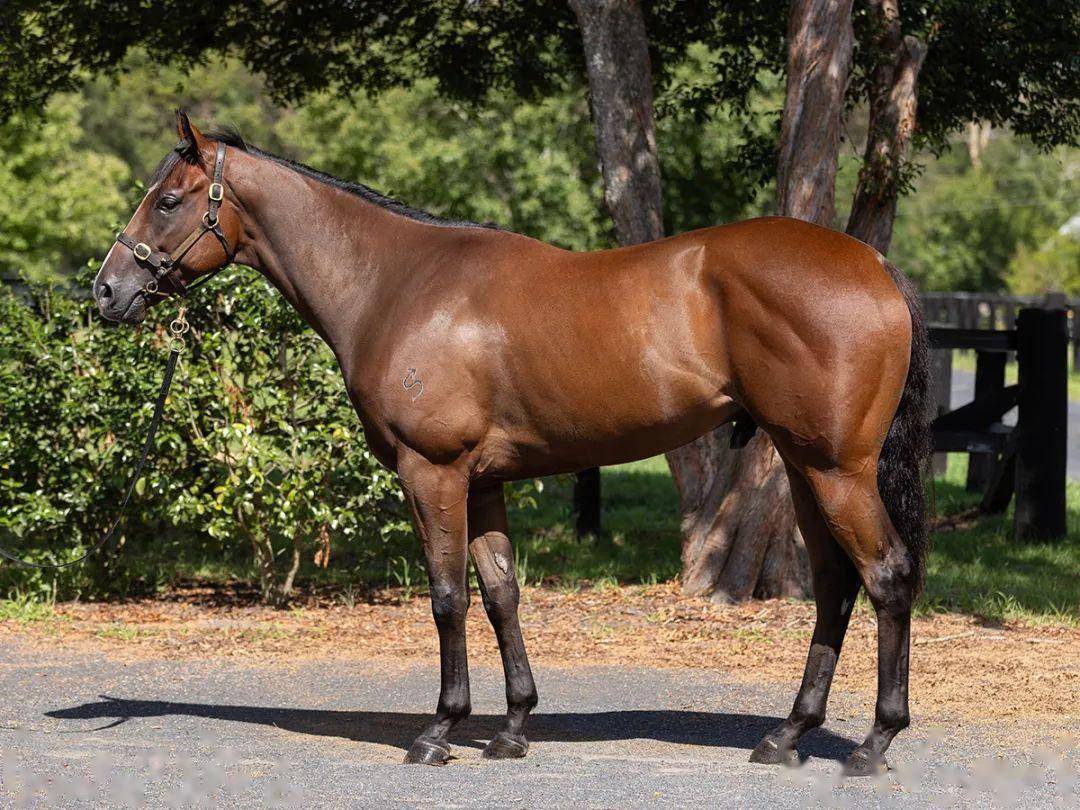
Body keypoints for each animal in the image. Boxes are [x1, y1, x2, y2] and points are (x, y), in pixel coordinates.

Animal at [93, 113, 930, 775]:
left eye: (167, 200)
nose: (106, 291)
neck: (399, 283)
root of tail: (876, 267)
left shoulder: (431, 473)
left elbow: (447, 597)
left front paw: (439, 731)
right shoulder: (484, 480)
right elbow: (501, 594)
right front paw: (513, 728)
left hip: (837, 470)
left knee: (886, 577)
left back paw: (873, 744)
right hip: (802, 467)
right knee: (835, 586)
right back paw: (786, 736)